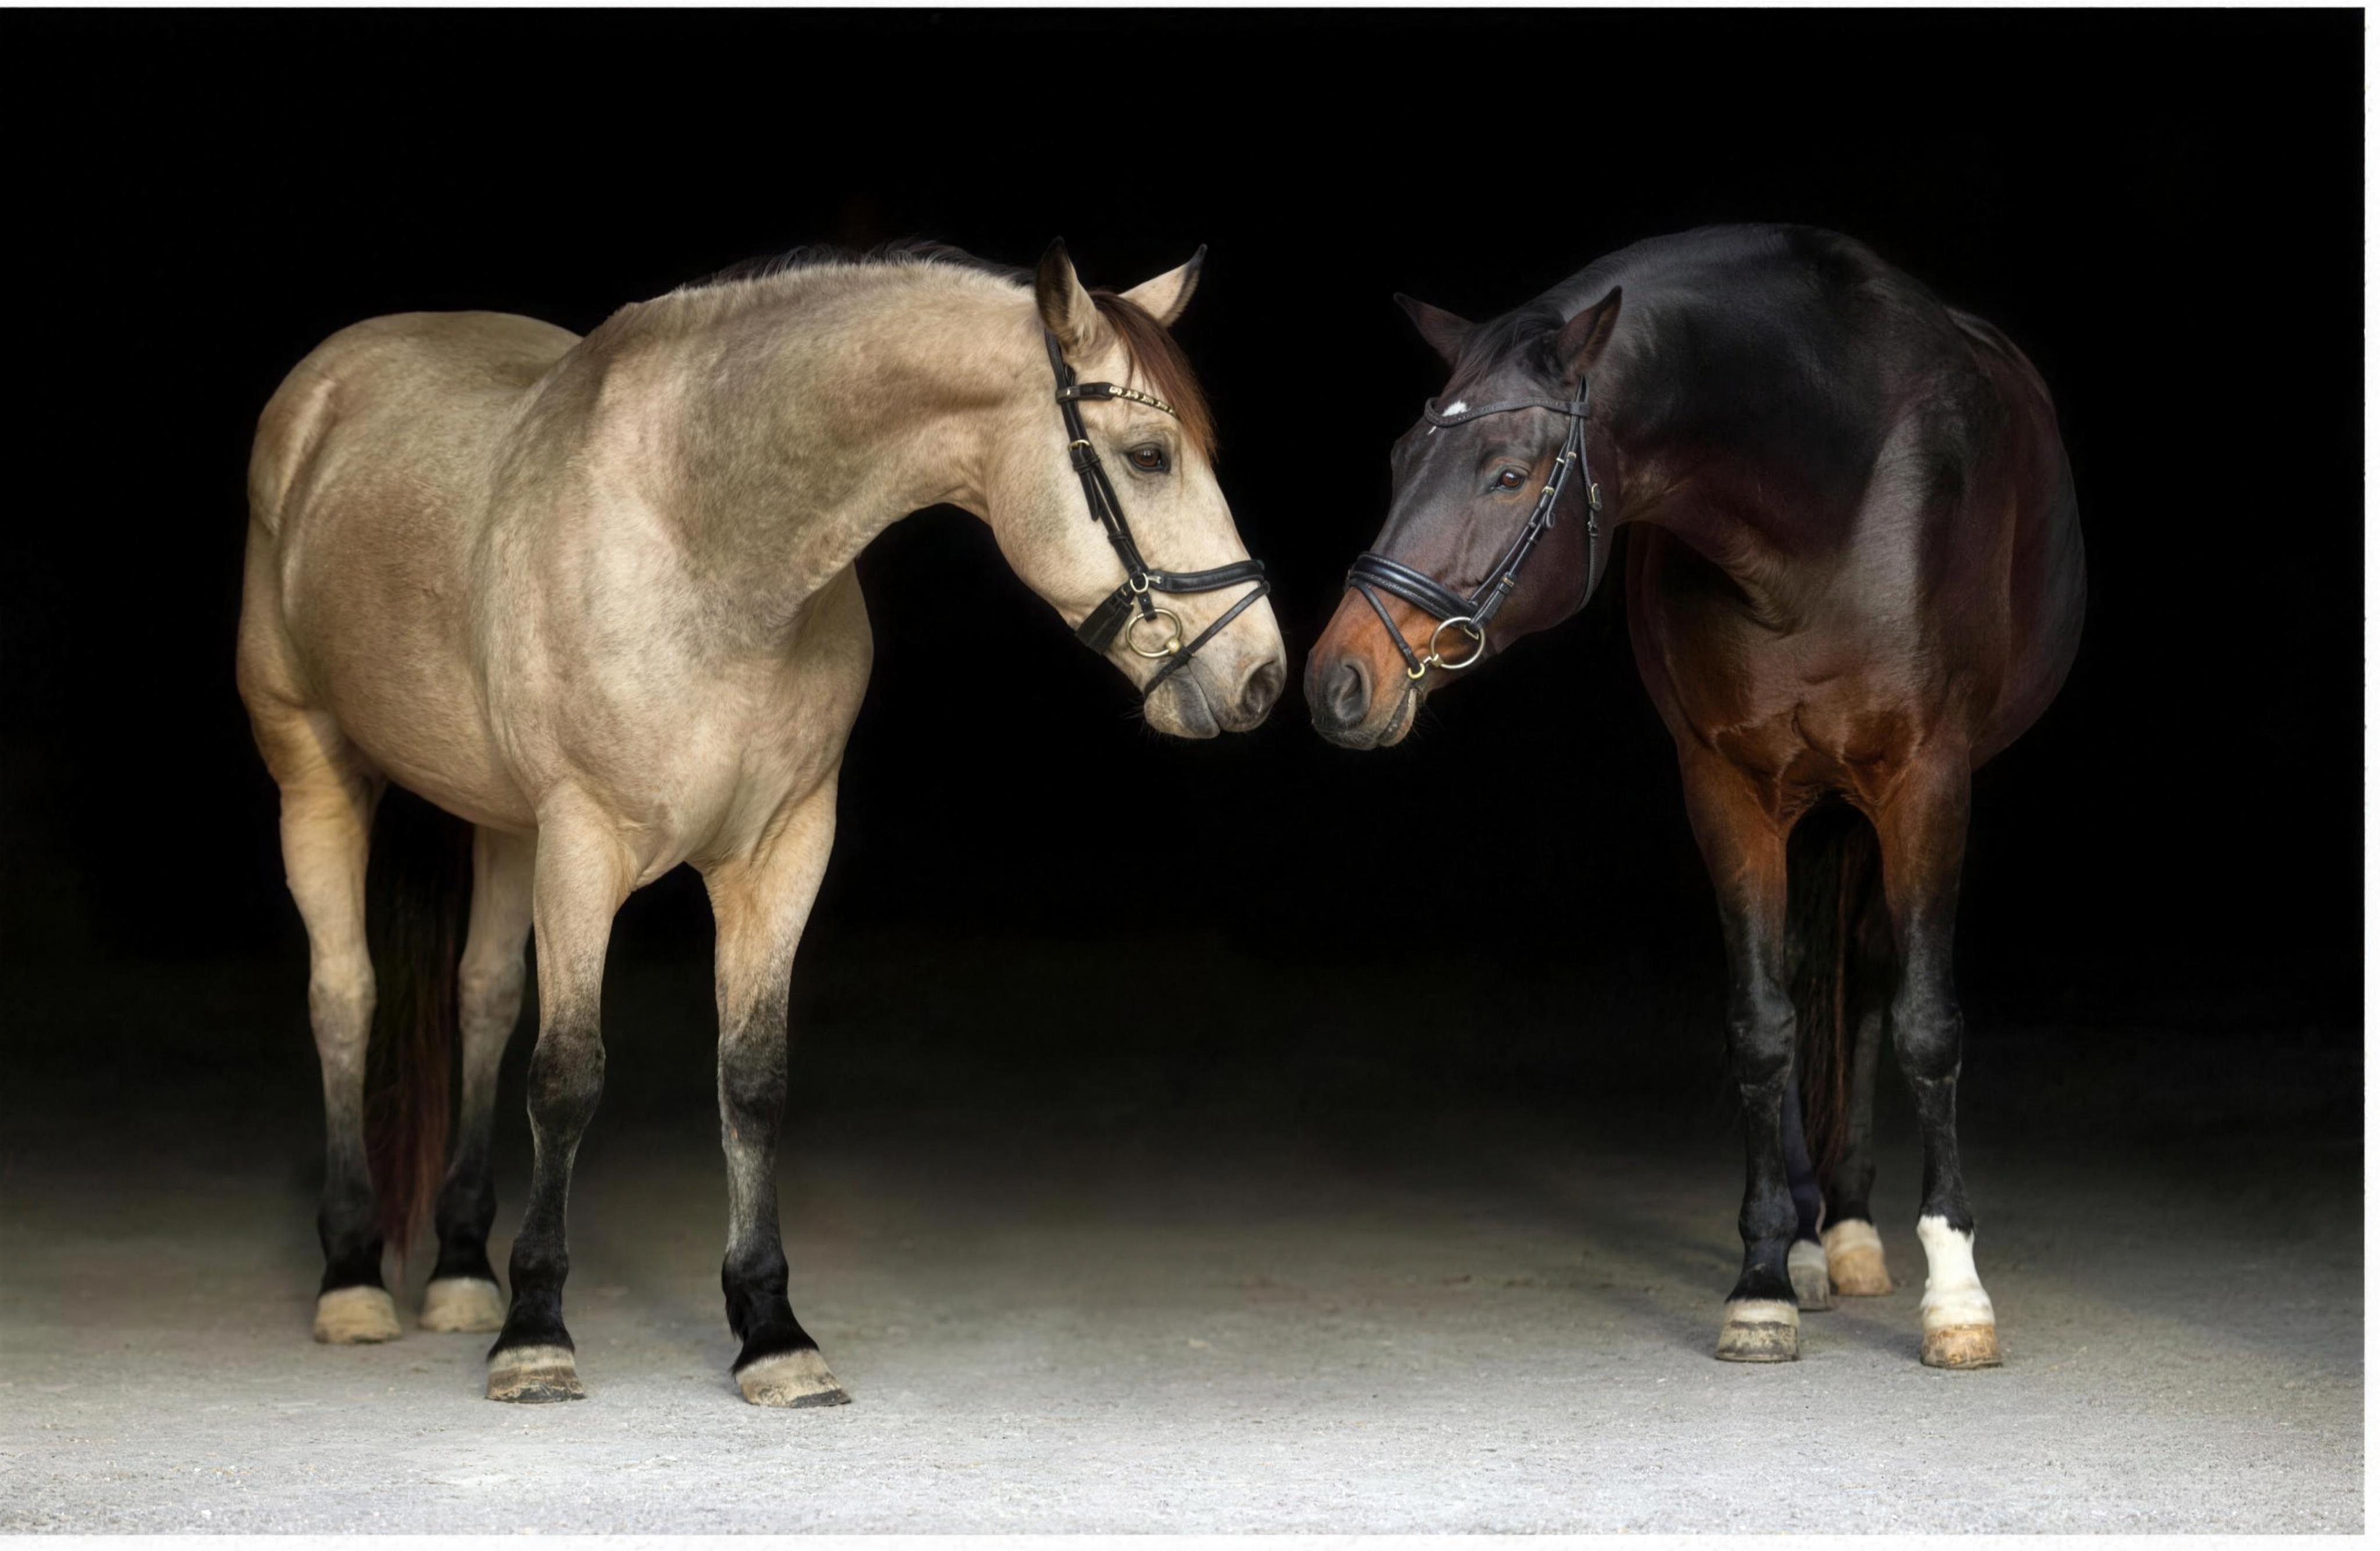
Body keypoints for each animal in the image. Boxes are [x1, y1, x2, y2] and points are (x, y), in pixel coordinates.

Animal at [237, 240, 1286, 1406]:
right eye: (1149, 455)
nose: (1260, 675)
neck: (706, 541)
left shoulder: (780, 850)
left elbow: (752, 1079)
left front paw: (773, 1331)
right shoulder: (585, 843)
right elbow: (567, 1076)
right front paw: (537, 1333)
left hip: (505, 823)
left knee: (482, 999)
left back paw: (461, 1266)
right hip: (317, 771)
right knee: (344, 997)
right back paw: (352, 1276)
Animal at [1307, 224, 2085, 1368]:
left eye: (1507, 474)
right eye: (1404, 460)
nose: (1339, 680)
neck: (1828, 499)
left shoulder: (1928, 778)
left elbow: (1927, 1023)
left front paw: (1958, 1294)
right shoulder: (1727, 787)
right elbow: (1762, 1026)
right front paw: (1762, 1279)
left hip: (1870, 803)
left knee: (1868, 978)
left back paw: (1859, 1231)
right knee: (1813, 980)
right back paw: (1818, 1236)